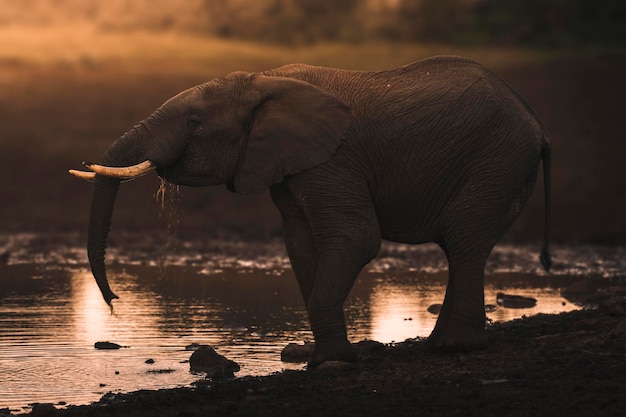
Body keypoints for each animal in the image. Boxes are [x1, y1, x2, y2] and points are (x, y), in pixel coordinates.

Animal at [69, 56, 552, 368]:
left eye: (194, 123)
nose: (114, 302)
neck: (261, 81)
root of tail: (536, 122)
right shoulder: (291, 165)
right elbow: (301, 246)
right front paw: (319, 357)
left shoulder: (333, 160)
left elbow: (356, 238)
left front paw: (333, 362)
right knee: (461, 243)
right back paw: (438, 345)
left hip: (498, 158)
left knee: (463, 237)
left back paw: (455, 347)